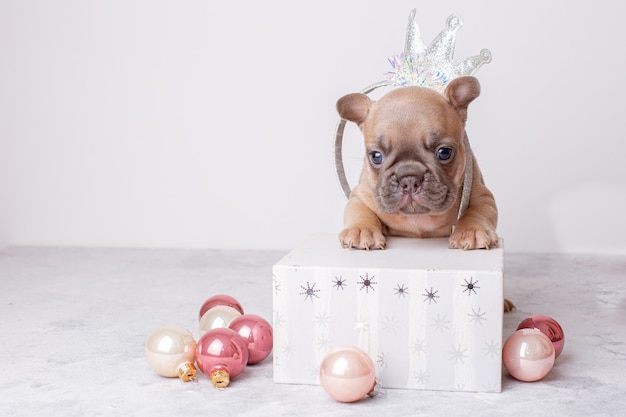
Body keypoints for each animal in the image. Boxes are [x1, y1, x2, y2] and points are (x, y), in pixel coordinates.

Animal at [336, 77, 498, 252]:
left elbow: (476, 212)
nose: (409, 179)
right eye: (376, 156)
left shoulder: (482, 196)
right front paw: (361, 231)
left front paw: (472, 231)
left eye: (444, 152)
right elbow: (360, 211)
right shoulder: (360, 196)